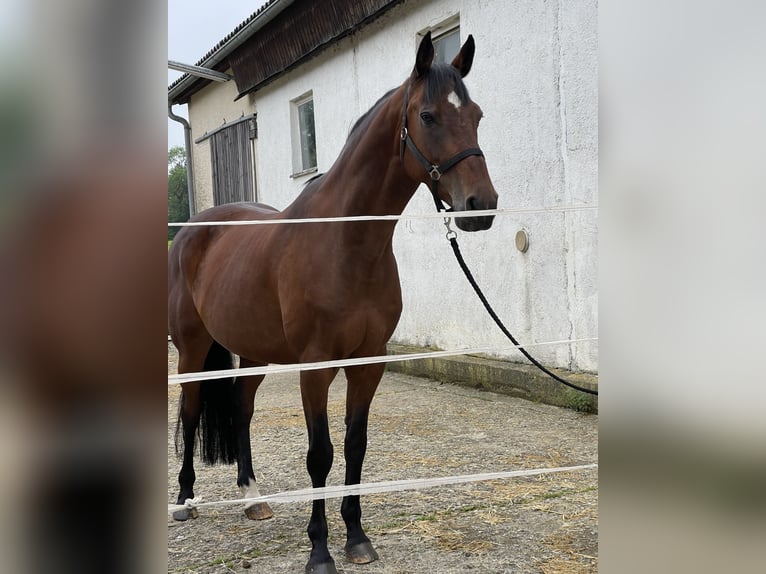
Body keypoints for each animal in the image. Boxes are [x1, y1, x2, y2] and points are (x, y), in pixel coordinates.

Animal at [168, 31, 498, 574]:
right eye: (427, 116)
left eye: (476, 114)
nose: (481, 207)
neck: (346, 242)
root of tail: (193, 230)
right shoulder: (316, 366)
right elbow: (319, 453)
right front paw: (320, 550)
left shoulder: (368, 362)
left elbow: (355, 445)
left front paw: (357, 537)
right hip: (194, 349)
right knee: (192, 410)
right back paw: (184, 501)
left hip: (255, 349)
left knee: (240, 407)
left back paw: (252, 497)